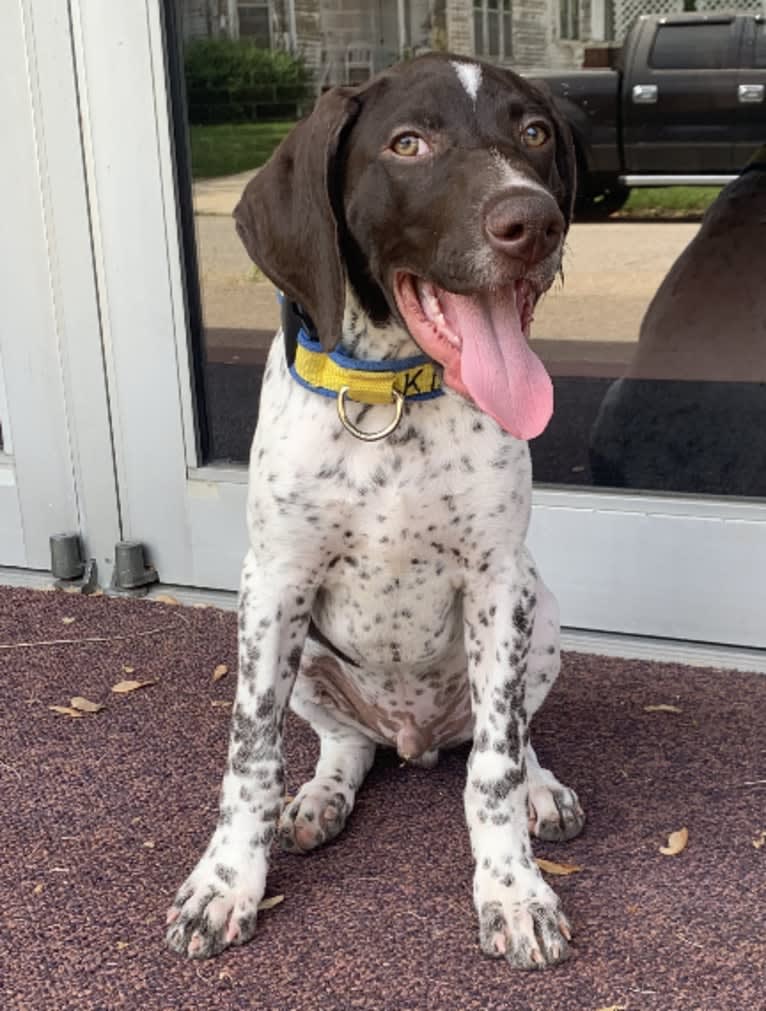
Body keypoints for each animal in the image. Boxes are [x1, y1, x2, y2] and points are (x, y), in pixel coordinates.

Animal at [167, 53, 586, 970]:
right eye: (408, 144)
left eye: (535, 132)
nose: (533, 223)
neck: (392, 394)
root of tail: (414, 737)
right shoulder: (274, 583)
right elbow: (249, 755)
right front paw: (226, 881)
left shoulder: (497, 582)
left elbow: (494, 767)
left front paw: (513, 889)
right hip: (310, 665)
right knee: (345, 745)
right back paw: (320, 796)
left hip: (540, 615)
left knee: (514, 732)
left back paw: (541, 788)